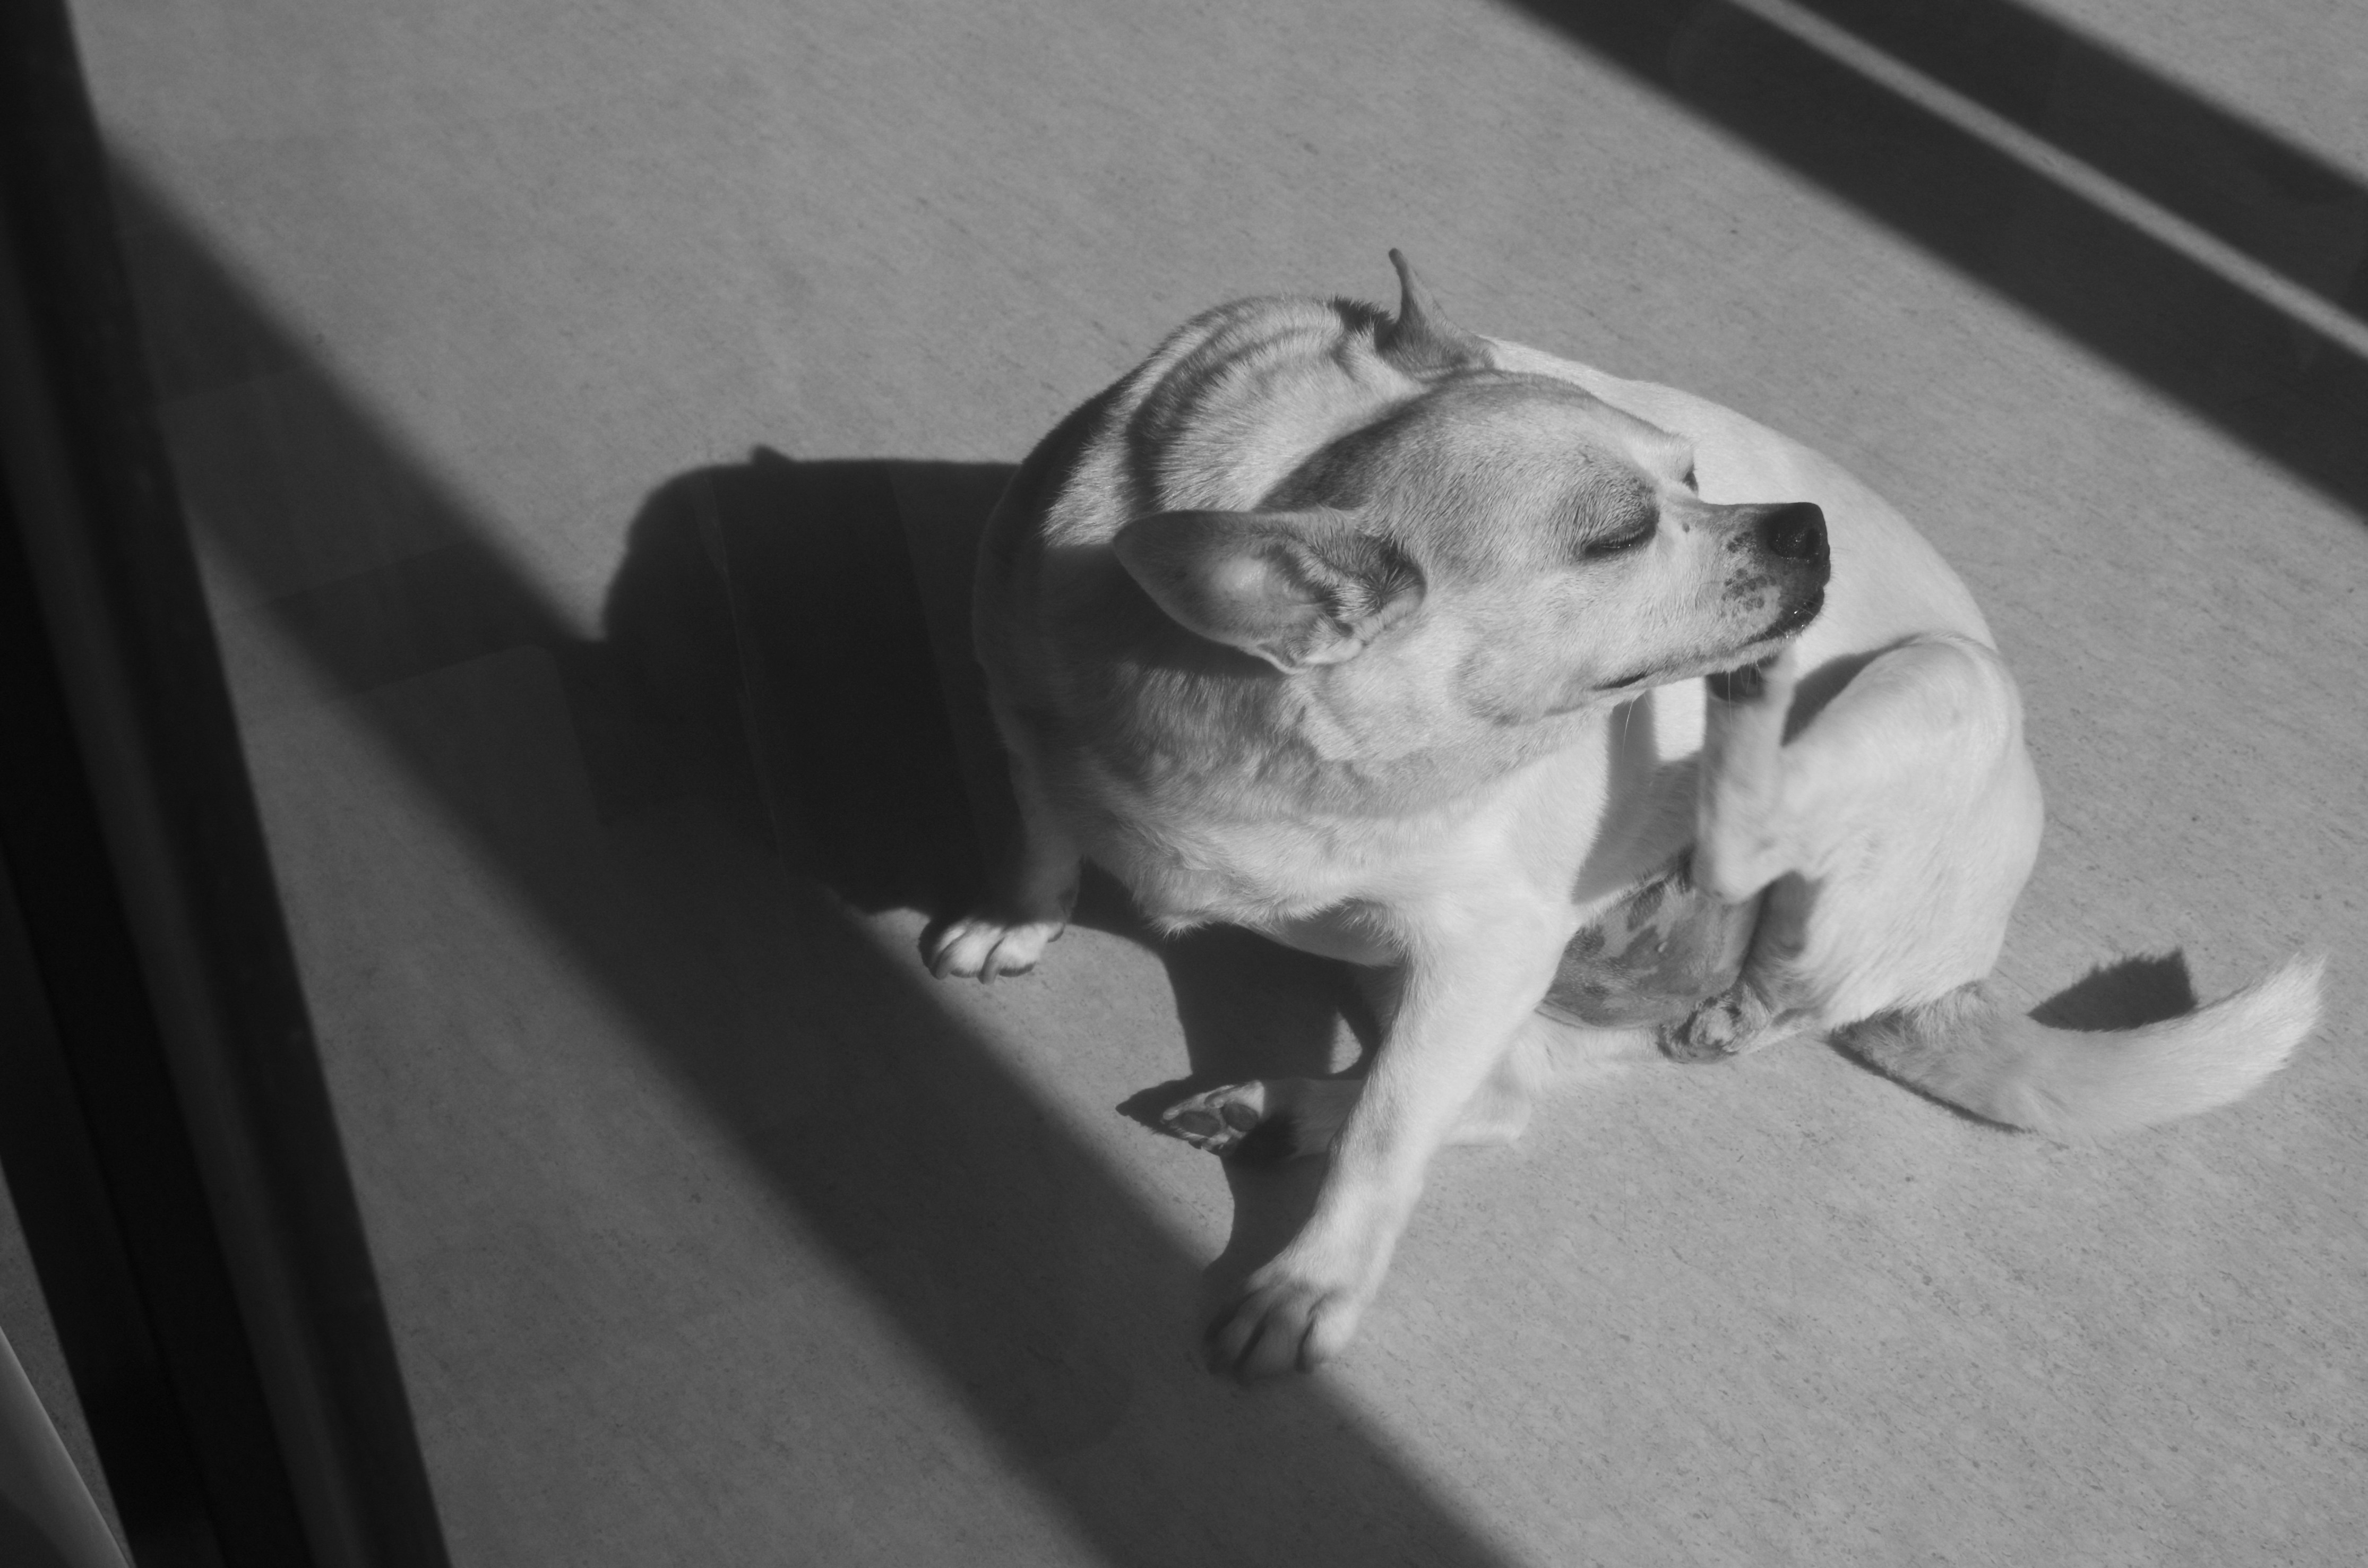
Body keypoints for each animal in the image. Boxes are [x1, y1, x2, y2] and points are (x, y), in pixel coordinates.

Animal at [923, 253, 2323, 1380]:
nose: (1802, 527)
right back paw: (1270, 1108)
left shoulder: (1484, 944)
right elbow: (1042, 832)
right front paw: (1014, 919)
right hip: (1456, 982)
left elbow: (1388, 1141)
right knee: (1488, 1093)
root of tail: (1954, 974)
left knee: (1727, 900)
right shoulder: (1018, 697)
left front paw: (1310, 1286)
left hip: (1934, 688)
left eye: (1695, 472)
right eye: (1618, 538)